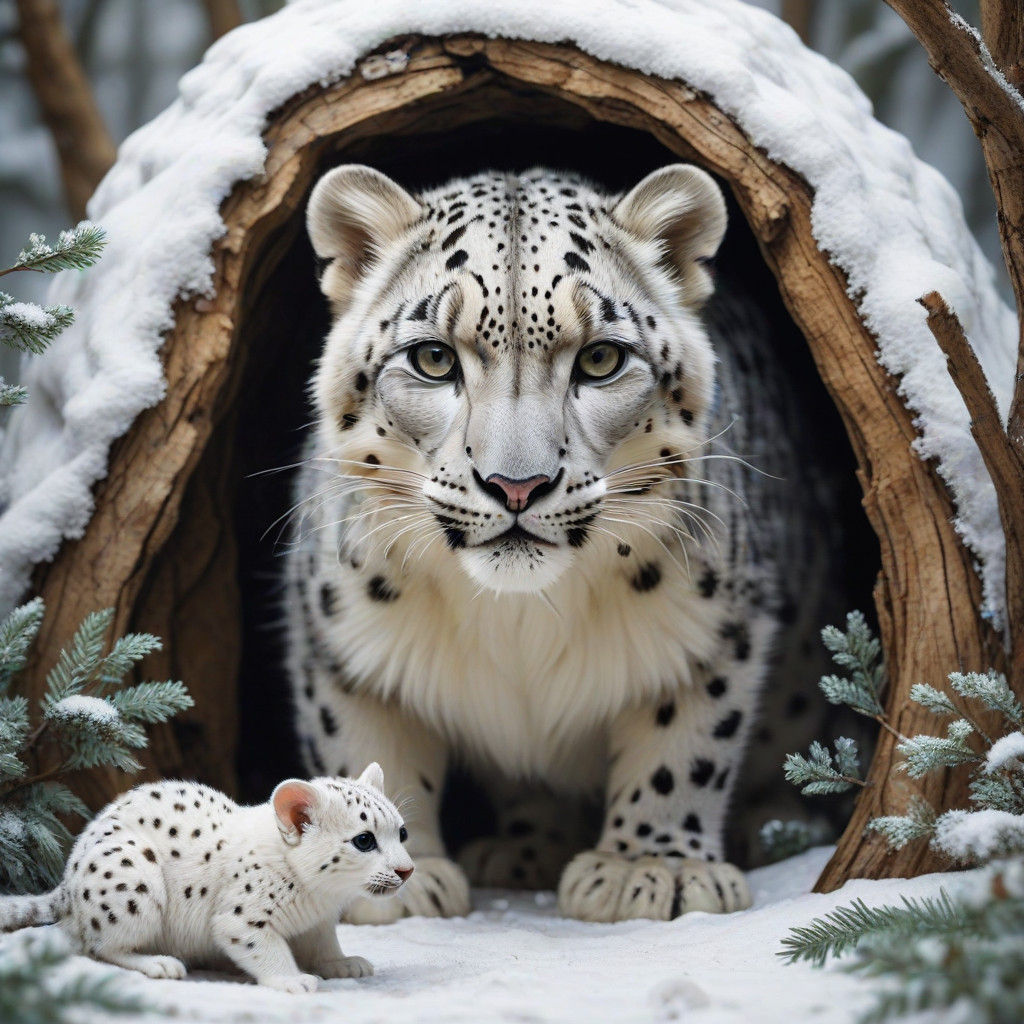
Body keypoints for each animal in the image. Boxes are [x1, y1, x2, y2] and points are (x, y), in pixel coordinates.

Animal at [283, 162, 836, 923]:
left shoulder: (717, 628)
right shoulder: (339, 641)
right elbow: (364, 741)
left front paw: (654, 867)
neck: (521, 621)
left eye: (601, 358)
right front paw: (393, 880)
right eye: (432, 359)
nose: (517, 485)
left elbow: (687, 741)